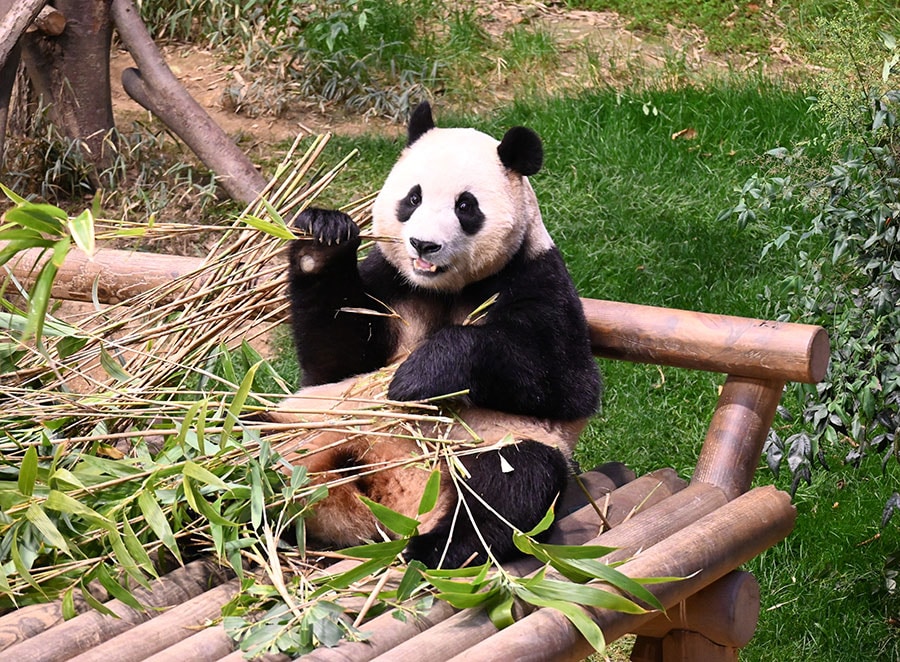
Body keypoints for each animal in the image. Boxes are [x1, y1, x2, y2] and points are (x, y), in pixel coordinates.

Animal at [270, 104, 600, 572]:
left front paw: (418, 378)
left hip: (487, 445)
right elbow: (335, 359)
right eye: (413, 198)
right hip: (304, 424)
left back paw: (435, 548)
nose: (423, 245)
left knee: (513, 485)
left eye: (466, 205)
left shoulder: (537, 280)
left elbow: (567, 383)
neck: (442, 288)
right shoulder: (391, 284)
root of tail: (396, 505)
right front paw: (323, 238)